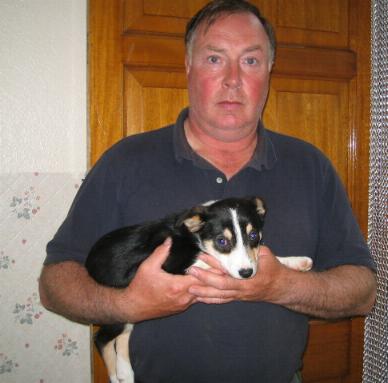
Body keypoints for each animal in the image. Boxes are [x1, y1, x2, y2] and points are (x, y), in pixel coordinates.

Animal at [85, 198, 312, 383]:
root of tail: (88, 264)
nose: (247, 273)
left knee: (122, 335)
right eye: (222, 241)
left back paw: (126, 373)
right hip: (124, 304)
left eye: (254, 235)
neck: (195, 236)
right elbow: (216, 264)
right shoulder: (172, 267)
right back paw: (116, 376)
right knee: (102, 338)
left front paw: (296, 262)